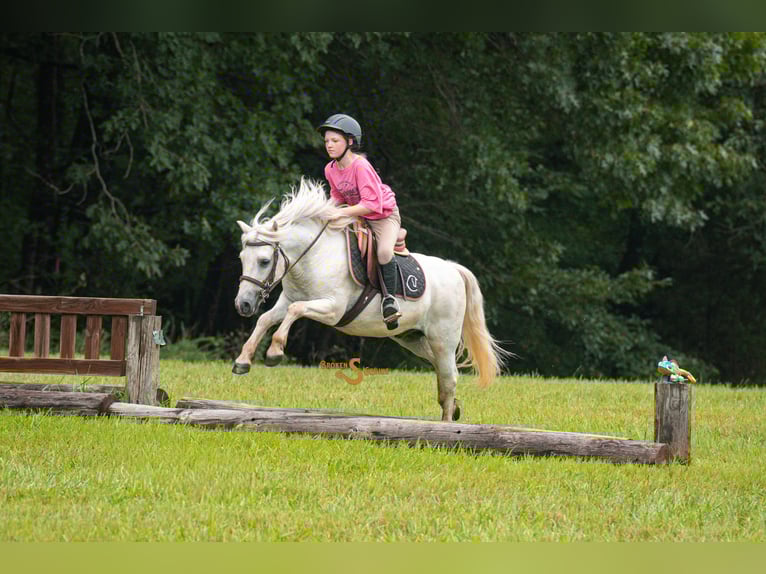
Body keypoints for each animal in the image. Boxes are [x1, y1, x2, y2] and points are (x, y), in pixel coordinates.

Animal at [233, 178, 510, 422]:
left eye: (264, 261)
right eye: (241, 258)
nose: (243, 305)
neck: (314, 256)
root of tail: (454, 269)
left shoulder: (332, 309)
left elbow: (295, 311)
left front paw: (274, 352)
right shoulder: (287, 300)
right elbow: (267, 318)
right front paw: (243, 361)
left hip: (443, 337)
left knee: (450, 375)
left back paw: (446, 423)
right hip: (412, 338)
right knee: (442, 370)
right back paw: (453, 409)